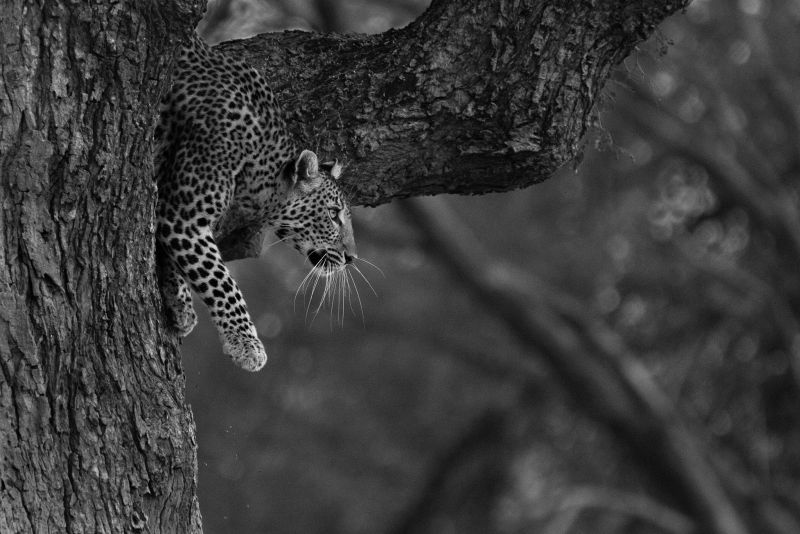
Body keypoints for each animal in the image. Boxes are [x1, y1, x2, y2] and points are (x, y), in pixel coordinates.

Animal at [154, 34, 357, 372]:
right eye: (333, 214)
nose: (352, 257)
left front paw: (179, 301)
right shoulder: (185, 218)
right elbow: (221, 281)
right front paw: (247, 345)